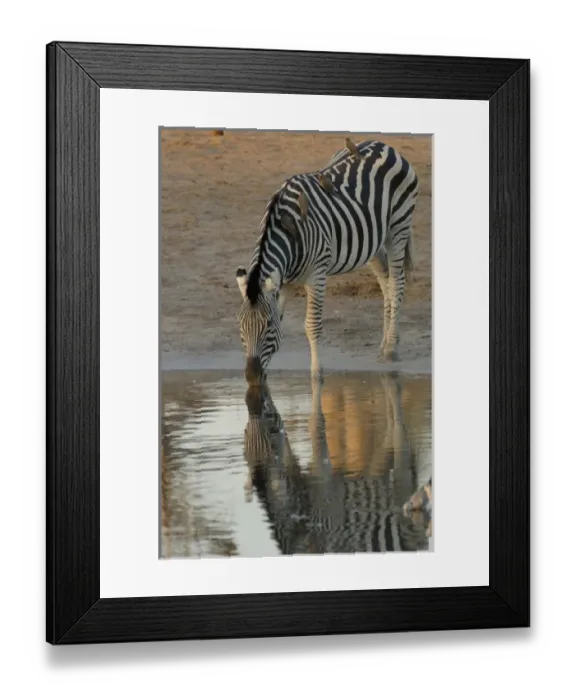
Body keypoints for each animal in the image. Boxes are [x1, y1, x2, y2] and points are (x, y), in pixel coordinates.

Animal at [235, 138, 419, 386]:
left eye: (268, 325)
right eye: (241, 326)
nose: (252, 377)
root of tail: (385, 145)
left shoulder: (317, 275)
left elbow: (312, 325)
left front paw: (316, 374)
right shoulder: (285, 281)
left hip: (398, 227)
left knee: (397, 282)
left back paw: (391, 348)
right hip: (372, 241)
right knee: (386, 280)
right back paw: (387, 342)